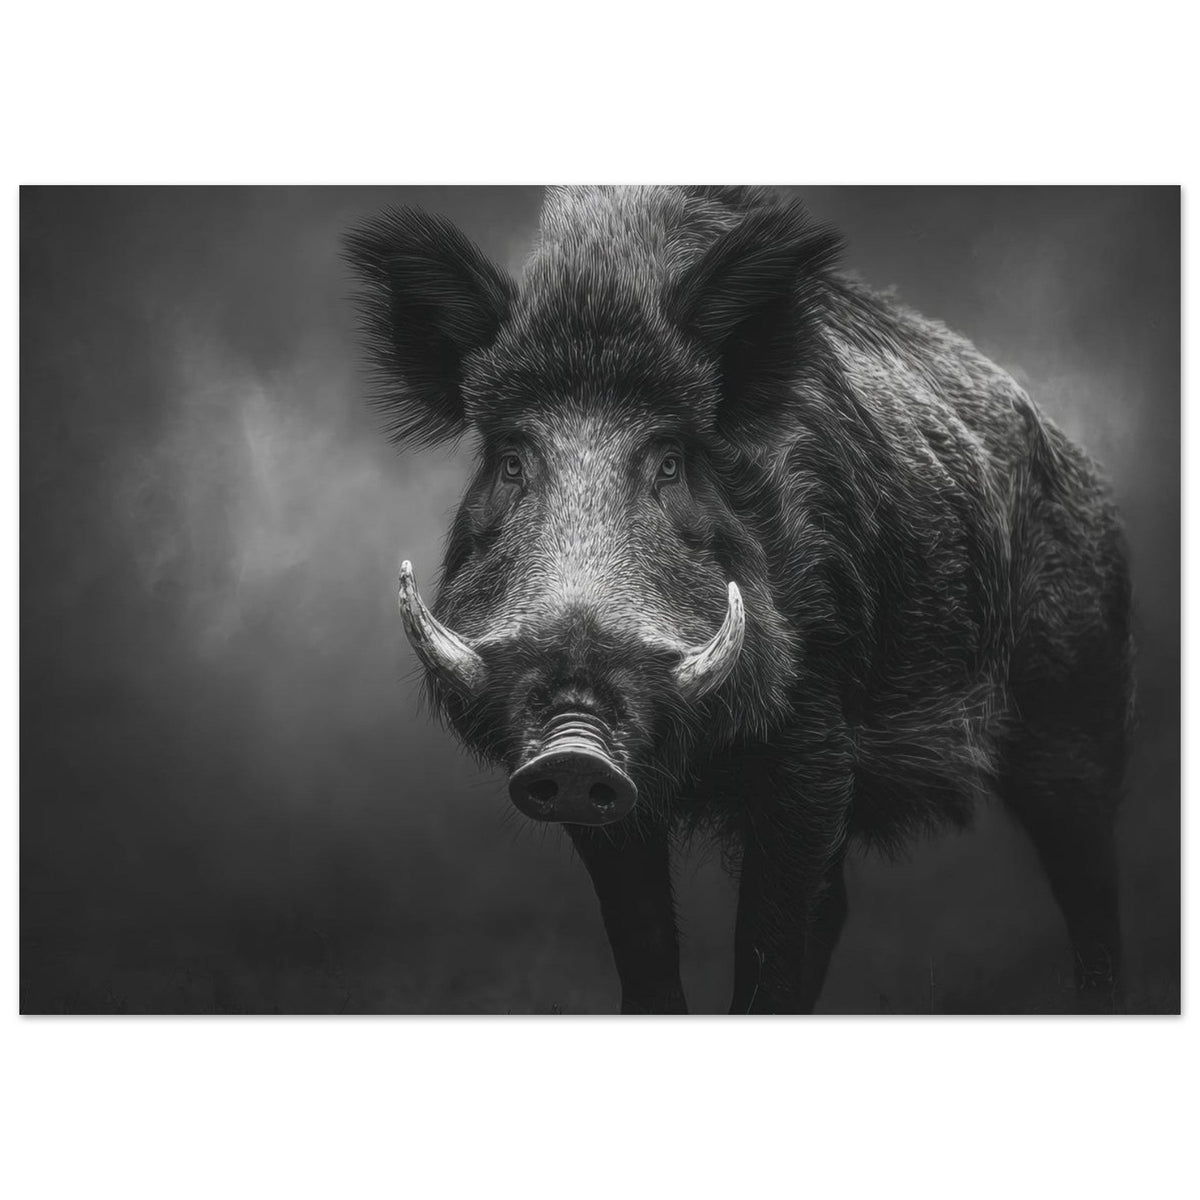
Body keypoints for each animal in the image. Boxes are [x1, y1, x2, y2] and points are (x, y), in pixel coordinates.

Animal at [345, 186, 1133, 1014]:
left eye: (670, 461)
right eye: (510, 461)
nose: (575, 740)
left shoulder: (815, 739)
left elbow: (772, 937)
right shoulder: (591, 796)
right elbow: (645, 939)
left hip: (1079, 708)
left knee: (1087, 876)